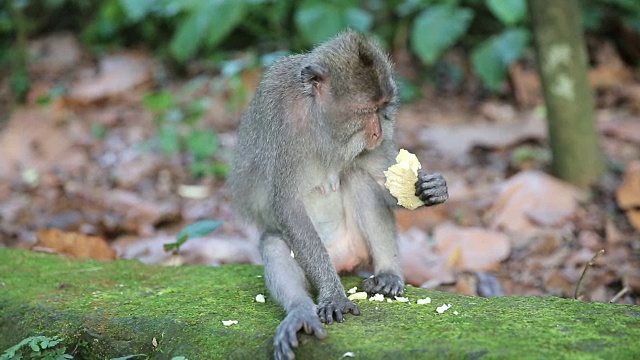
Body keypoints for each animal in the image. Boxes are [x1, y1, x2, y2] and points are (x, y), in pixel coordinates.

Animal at [228, 31, 448, 360]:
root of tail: (342, 260)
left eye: (383, 107)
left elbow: (382, 179)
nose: (377, 133)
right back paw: (301, 312)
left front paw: (431, 189)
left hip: (357, 246)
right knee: (274, 244)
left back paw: (388, 273)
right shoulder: (283, 126)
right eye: (364, 110)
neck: (318, 120)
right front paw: (332, 294)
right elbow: (289, 208)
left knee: (360, 181)